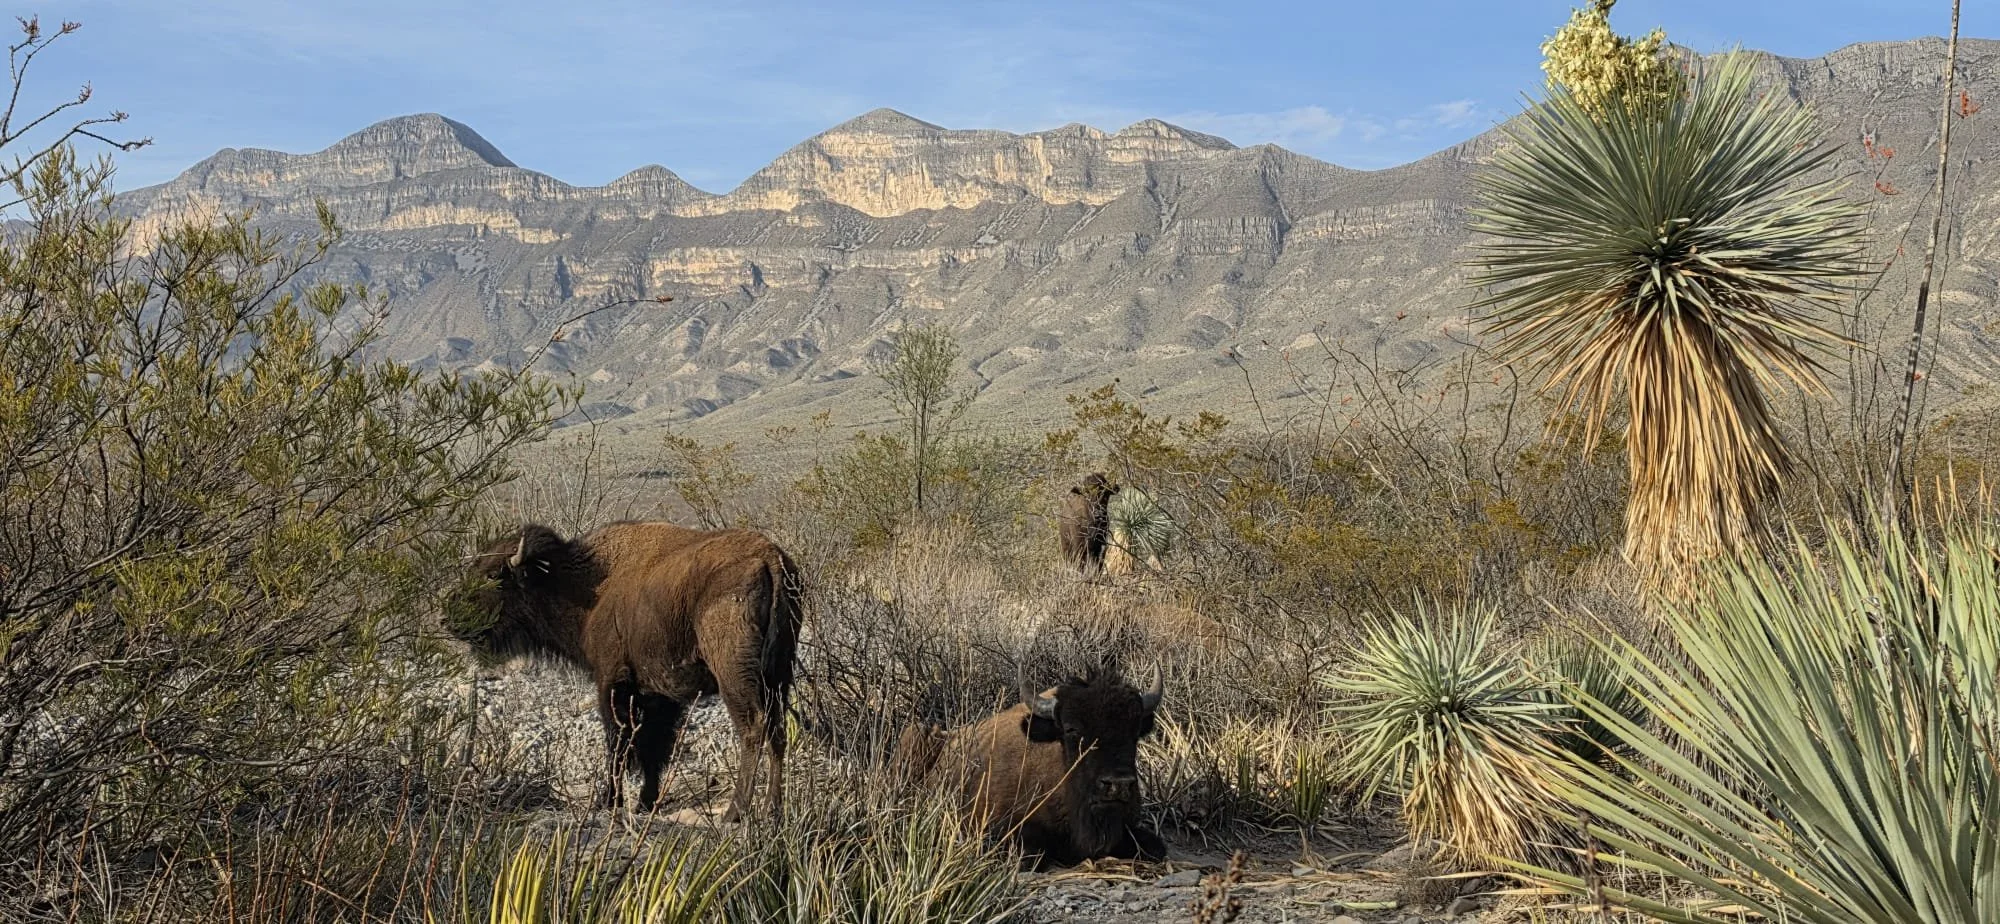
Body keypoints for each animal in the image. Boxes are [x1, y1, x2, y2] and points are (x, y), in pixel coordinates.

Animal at [447, 520, 802, 822]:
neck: (586, 585)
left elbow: (620, 744)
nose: (449, 617)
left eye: (495, 575)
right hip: (778, 675)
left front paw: (610, 801)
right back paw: (773, 810)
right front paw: (645, 802)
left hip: (735, 676)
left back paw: (735, 812)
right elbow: (653, 748)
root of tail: (769, 559)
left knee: (753, 728)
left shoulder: (613, 682)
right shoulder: (658, 695)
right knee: (778, 732)